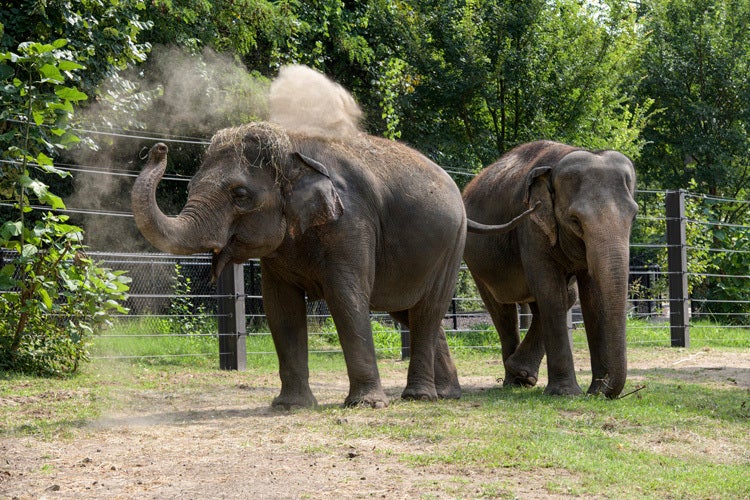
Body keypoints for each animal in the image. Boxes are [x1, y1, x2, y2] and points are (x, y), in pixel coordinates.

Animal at [132, 123, 536, 408]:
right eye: (190, 188)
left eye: (241, 195)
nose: (157, 149)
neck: (292, 150)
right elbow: (280, 309)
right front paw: (290, 406)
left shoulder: (352, 222)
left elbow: (346, 299)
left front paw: (366, 405)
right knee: (413, 312)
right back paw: (447, 394)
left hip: (452, 245)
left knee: (428, 309)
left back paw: (419, 397)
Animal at [464, 140, 640, 398]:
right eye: (575, 220)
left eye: (634, 216)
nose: (607, 389)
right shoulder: (531, 222)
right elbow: (550, 290)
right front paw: (566, 393)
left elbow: (592, 297)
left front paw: (595, 390)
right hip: (477, 260)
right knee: (503, 310)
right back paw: (514, 379)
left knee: (562, 298)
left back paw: (522, 375)